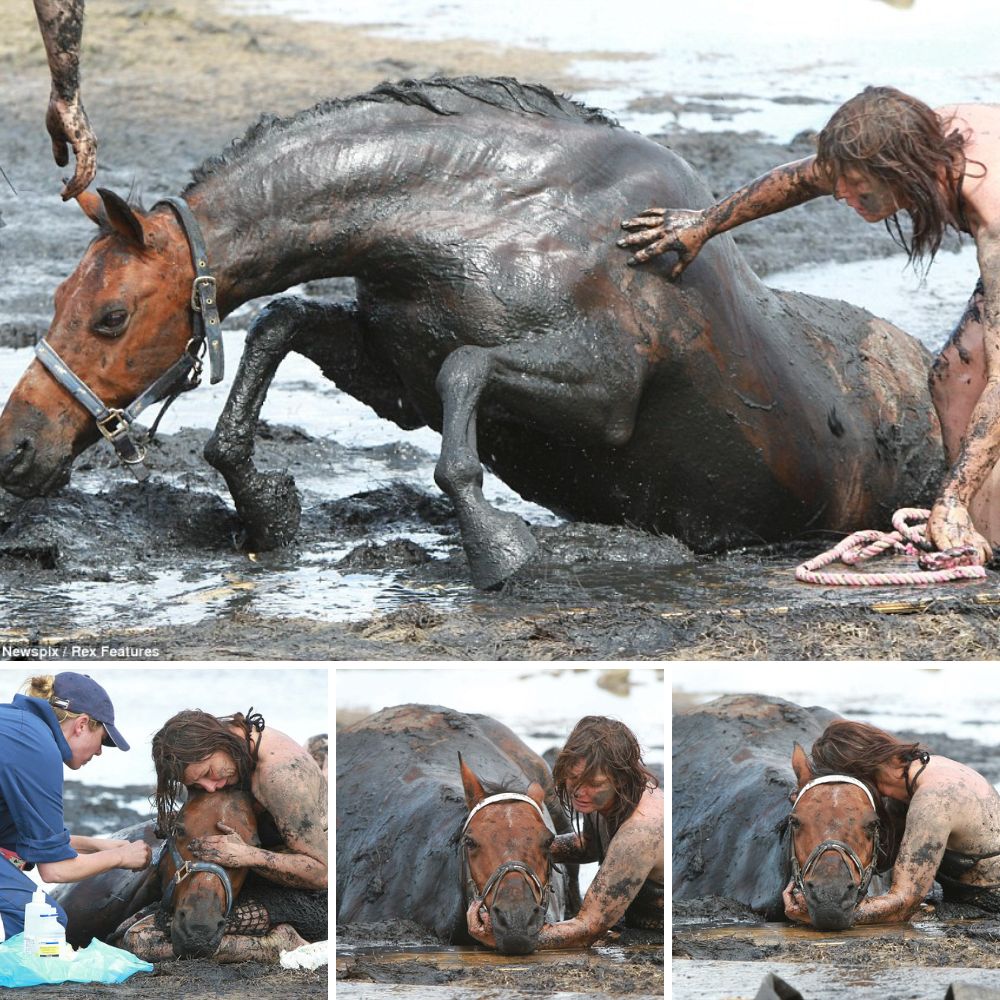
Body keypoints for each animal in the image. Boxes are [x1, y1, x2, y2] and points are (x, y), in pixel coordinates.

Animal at [0, 80, 944, 592]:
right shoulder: (397, 376)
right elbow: (281, 322)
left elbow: (466, 372)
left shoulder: (603, 393)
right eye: (59, 298)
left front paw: (497, 548)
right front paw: (267, 506)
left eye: (111, 316)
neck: (490, 214)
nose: (15, 447)